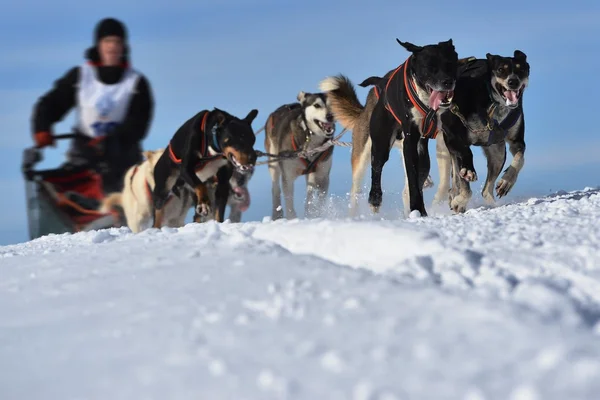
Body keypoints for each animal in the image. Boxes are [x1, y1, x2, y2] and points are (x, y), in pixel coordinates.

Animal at [436, 50, 528, 212]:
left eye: (521, 69)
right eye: (500, 69)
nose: (513, 81)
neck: (493, 104)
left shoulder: (516, 141)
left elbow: (520, 158)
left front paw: (507, 182)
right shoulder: (452, 133)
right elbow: (465, 156)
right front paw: (460, 200)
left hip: (497, 153)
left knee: (486, 190)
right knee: (458, 175)